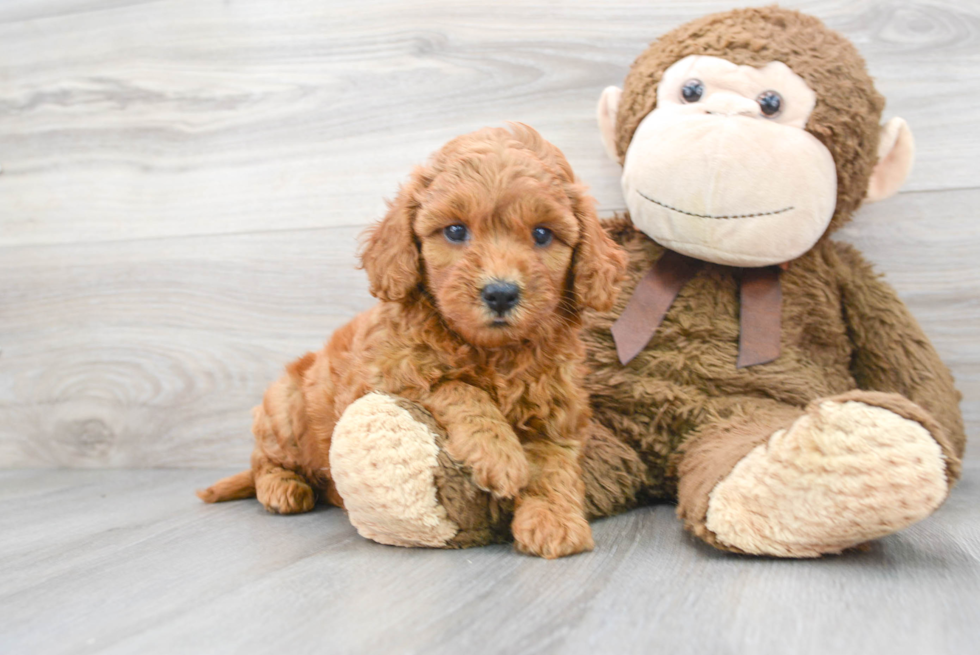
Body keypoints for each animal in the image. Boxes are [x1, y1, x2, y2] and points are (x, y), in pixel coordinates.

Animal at [199, 124, 628, 560]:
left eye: (542, 234)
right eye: (455, 230)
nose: (501, 293)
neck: (492, 353)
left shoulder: (557, 411)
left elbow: (555, 466)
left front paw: (553, 520)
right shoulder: (383, 378)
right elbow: (456, 387)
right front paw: (499, 455)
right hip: (284, 408)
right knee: (264, 459)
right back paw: (282, 487)